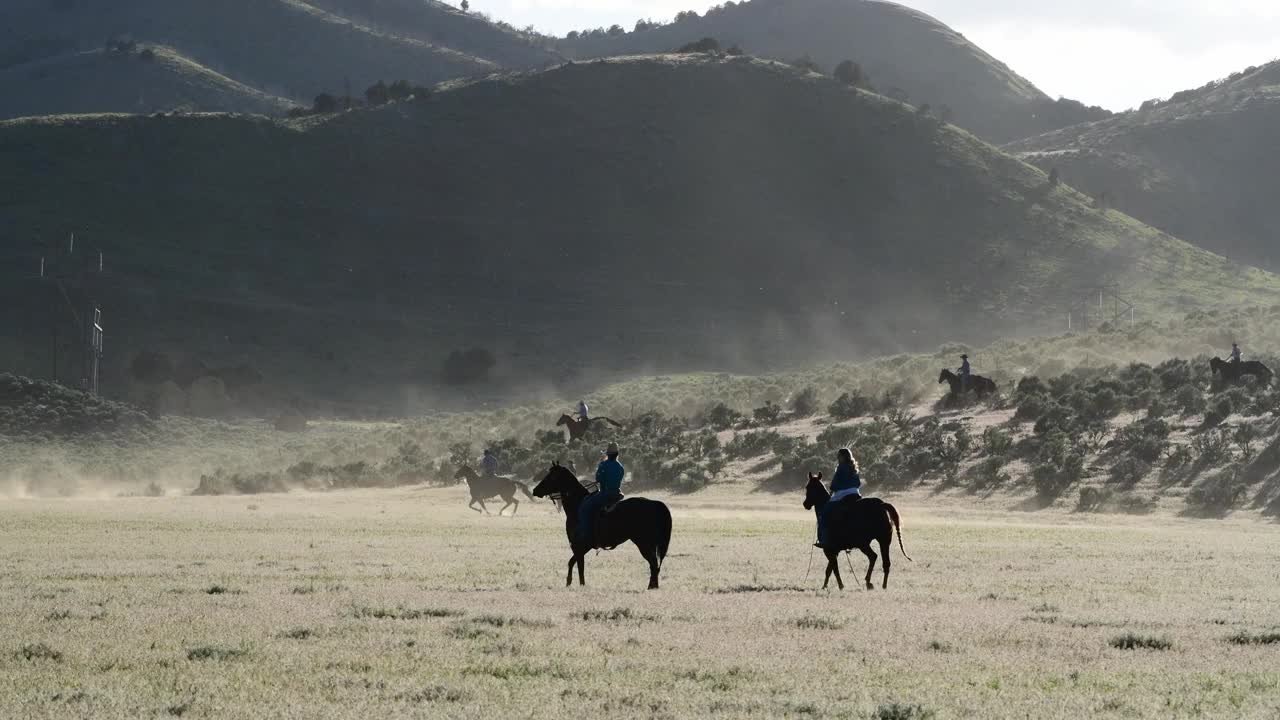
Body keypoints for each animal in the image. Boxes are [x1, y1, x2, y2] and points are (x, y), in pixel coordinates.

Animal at [529, 458, 675, 589]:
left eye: (551, 476)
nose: (535, 490)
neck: (577, 504)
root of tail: (654, 504)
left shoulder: (579, 545)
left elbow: (578, 564)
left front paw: (577, 584)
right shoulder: (583, 546)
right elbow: (575, 563)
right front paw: (572, 583)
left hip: (644, 543)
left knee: (653, 563)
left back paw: (651, 587)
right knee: (655, 565)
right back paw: (653, 586)